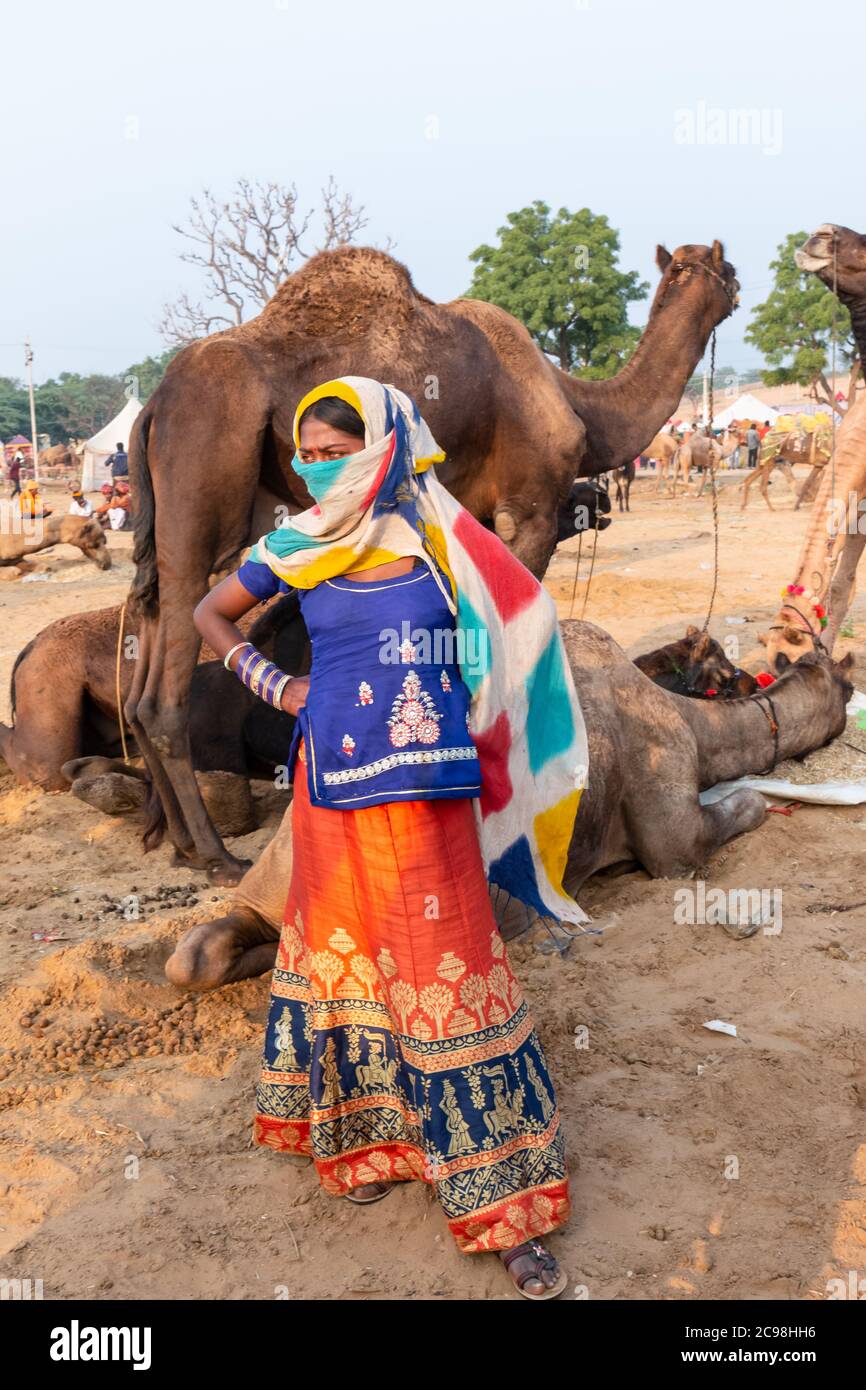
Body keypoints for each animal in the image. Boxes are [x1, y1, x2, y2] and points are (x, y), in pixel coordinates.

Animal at [127, 239, 739, 878]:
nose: (736, 287)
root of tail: (153, 406)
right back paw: (217, 856)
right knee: (165, 695)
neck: (576, 404)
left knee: (139, 678)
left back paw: (180, 844)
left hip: (163, 530)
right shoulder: (530, 508)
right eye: (724, 269)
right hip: (202, 486)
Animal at [164, 625, 856, 995]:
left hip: (266, 892)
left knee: (194, 956)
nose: (849, 708)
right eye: (845, 684)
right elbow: (735, 815)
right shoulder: (672, 828)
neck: (690, 718)